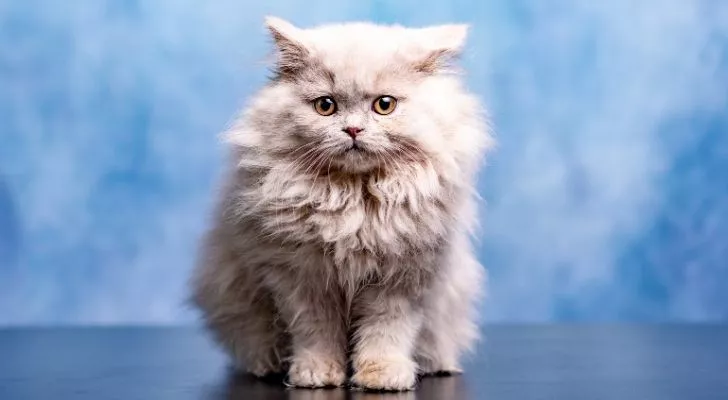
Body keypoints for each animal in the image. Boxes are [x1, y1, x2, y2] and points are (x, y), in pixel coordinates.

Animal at [191, 15, 492, 390]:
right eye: (326, 106)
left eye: (384, 105)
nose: (352, 130)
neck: (355, 199)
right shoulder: (301, 278)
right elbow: (315, 333)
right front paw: (315, 375)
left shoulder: (404, 278)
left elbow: (386, 332)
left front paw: (382, 376)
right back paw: (268, 365)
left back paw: (436, 365)